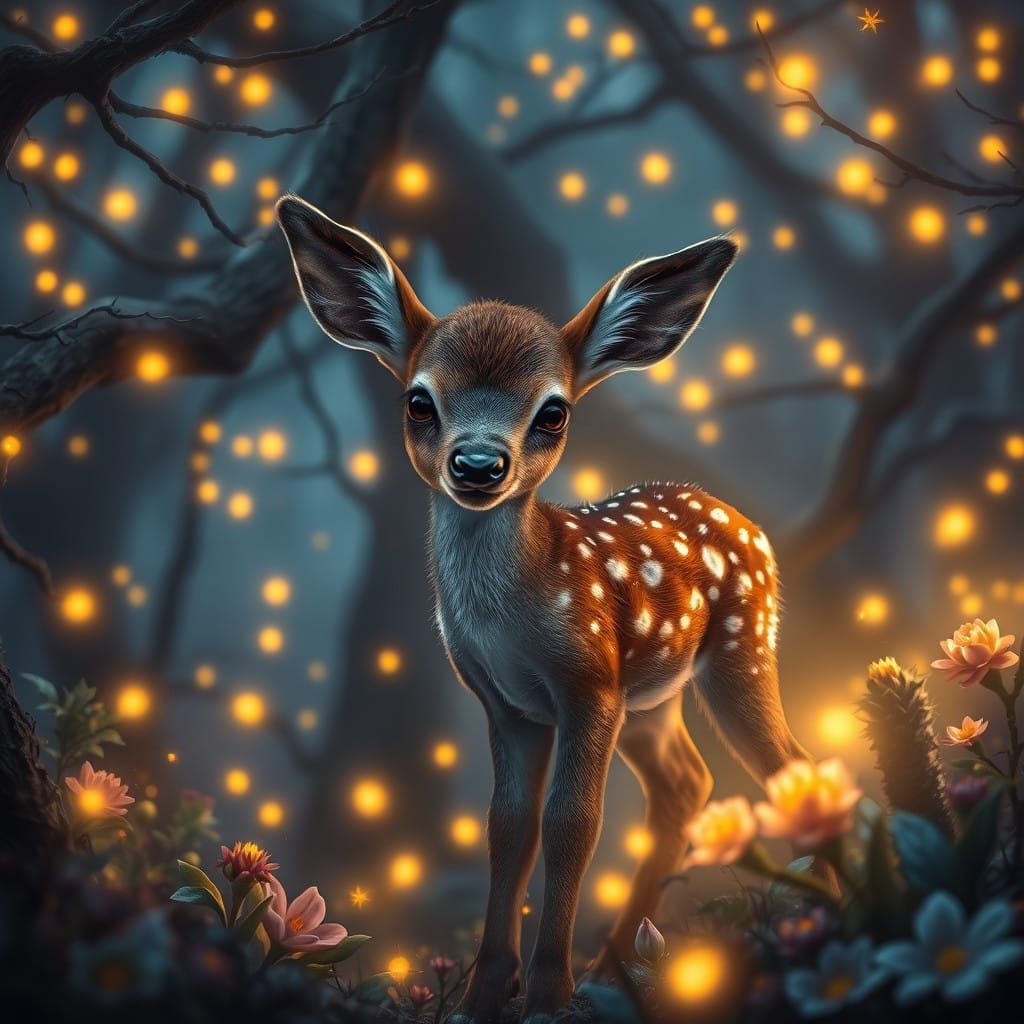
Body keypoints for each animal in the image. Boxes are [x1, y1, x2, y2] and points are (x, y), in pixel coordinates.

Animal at [276, 194, 813, 1023]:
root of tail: (743, 520)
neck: (512, 621)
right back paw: (611, 967)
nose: (477, 463)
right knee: (686, 785)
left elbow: (572, 827)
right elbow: (508, 828)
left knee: (786, 764)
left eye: (553, 412)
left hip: (736, 648)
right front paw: (485, 993)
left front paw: (547, 994)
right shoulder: (507, 704)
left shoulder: (587, 683)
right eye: (418, 401)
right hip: (651, 698)